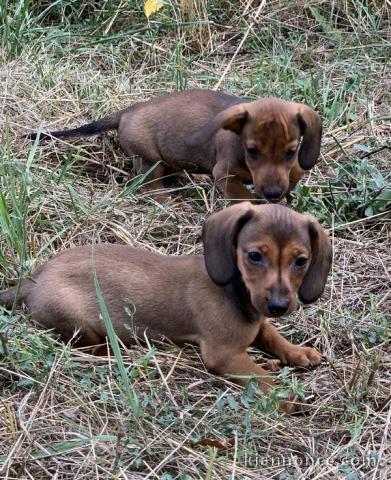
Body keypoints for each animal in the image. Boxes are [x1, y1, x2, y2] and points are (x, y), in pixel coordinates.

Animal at [0, 203, 332, 412]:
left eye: (301, 261)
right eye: (254, 256)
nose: (278, 305)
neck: (236, 292)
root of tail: (33, 280)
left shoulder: (259, 322)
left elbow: (272, 335)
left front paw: (297, 352)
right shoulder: (224, 355)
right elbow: (261, 376)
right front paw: (285, 394)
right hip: (81, 322)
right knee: (89, 346)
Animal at [26, 90, 322, 202]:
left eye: (291, 152)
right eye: (252, 151)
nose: (272, 194)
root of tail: (125, 112)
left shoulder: (292, 170)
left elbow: (293, 176)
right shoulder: (225, 174)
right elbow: (241, 196)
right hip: (150, 160)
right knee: (151, 186)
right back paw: (165, 199)